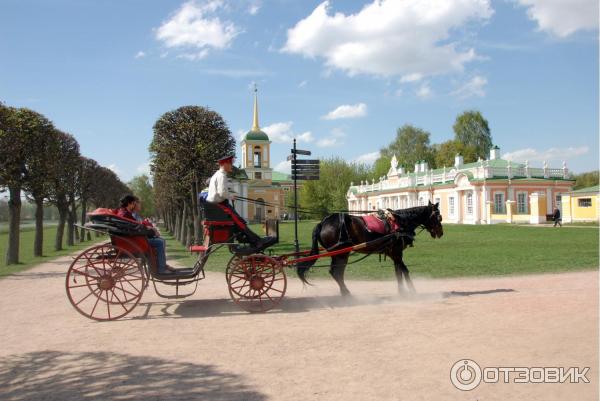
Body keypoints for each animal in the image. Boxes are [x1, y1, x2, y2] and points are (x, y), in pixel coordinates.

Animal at [296, 202, 442, 296]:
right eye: (438, 217)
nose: (441, 233)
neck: (399, 222)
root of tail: (323, 222)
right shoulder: (397, 252)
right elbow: (404, 271)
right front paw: (411, 291)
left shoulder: (393, 254)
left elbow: (398, 272)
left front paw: (402, 291)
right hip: (342, 254)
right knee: (336, 273)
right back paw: (347, 293)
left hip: (338, 254)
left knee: (336, 273)